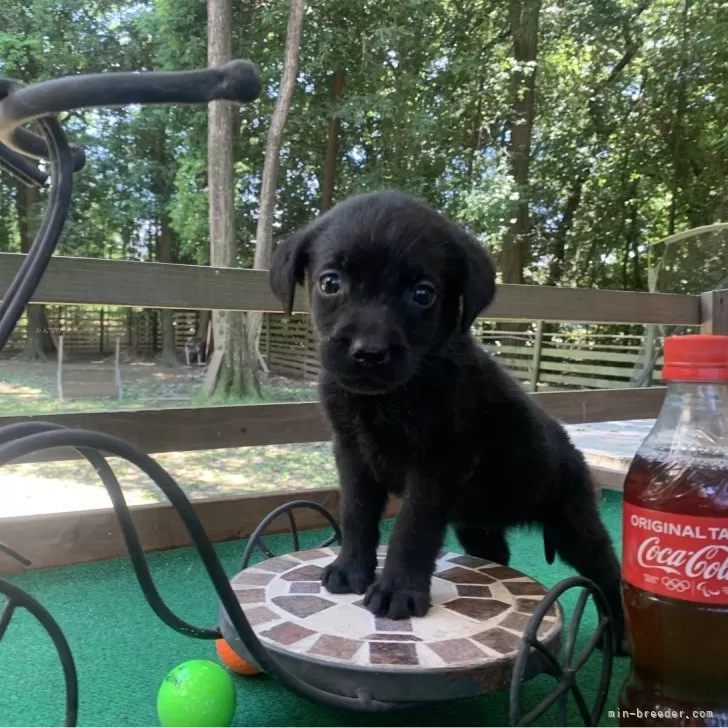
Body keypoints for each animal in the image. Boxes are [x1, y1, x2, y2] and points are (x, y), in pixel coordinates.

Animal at [268, 191, 624, 652]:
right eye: (330, 283)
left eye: (423, 294)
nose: (368, 353)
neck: (389, 399)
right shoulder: (352, 453)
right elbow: (356, 515)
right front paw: (349, 570)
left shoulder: (437, 464)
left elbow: (412, 529)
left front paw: (397, 591)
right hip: (478, 524)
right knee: (497, 556)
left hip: (574, 523)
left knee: (607, 573)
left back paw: (619, 636)